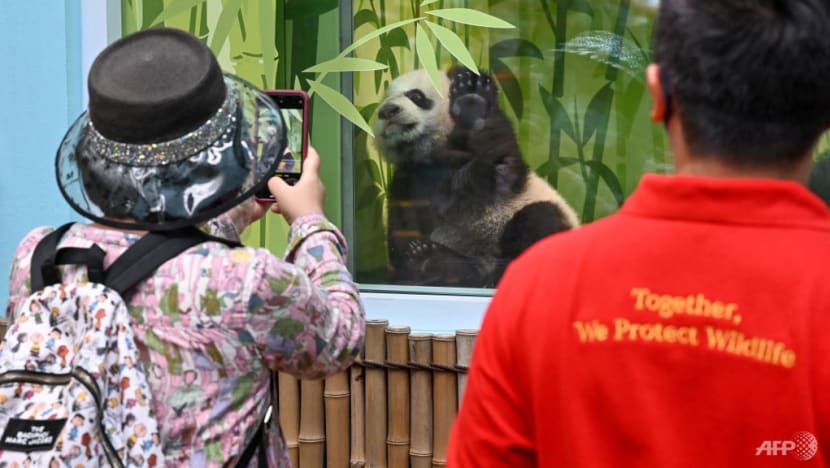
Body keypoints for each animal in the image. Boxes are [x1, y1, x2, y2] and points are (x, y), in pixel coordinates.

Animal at [376, 65, 580, 286]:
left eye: (415, 96)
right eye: (383, 101)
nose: (387, 111)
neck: (434, 153)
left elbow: (499, 165)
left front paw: (472, 102)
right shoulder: (407, 180)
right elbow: (401, 228)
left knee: (539, 219)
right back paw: (439, 262)